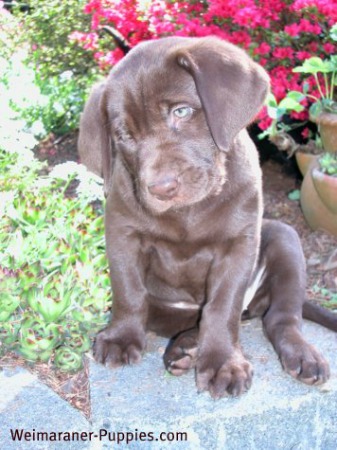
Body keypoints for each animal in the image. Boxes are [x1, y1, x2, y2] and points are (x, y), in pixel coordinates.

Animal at [79, 37, 336, 400]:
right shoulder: (121, 232)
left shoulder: (238, 244)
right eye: (124, 135)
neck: (188, 212)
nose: (161, 188)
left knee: (281, 319)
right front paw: (120, 337)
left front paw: (223, 363)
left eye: (181, 111)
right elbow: (127, 289)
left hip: (284, 237)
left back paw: (302, 355)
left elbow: (222, 307)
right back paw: (184, 348)